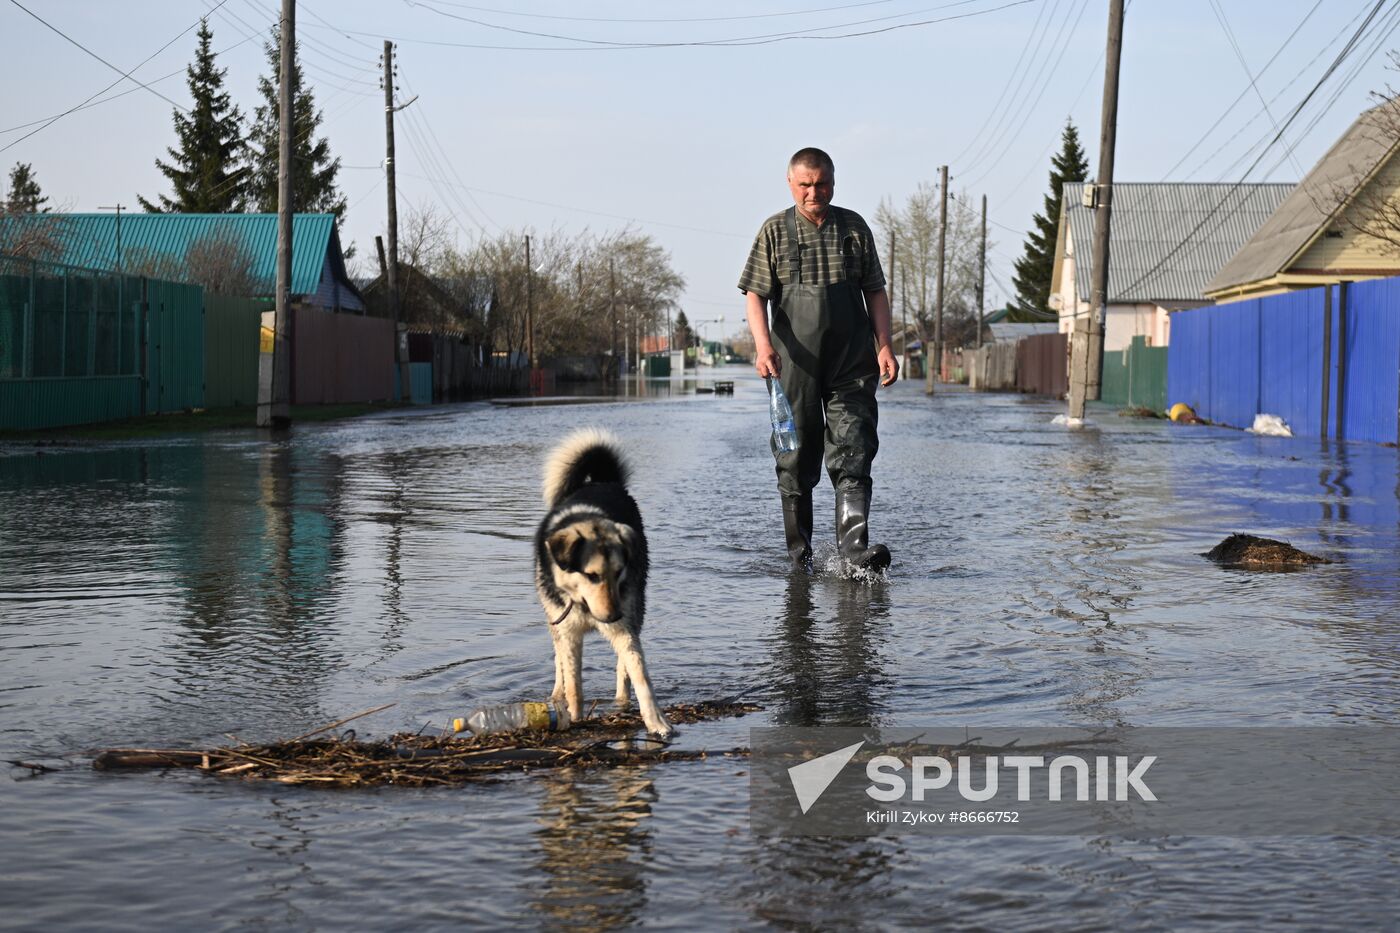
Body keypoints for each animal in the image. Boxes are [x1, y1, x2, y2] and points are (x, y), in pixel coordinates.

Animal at [532, 425, 674, 739]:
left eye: (619, 571)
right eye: (592, 575)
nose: (613, 616)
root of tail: (602, 481)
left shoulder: (625, 626)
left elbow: (641, 675)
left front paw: (656, 721)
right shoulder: (570, 632)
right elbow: (574, 683)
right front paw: (574, 716)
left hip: (635, 611)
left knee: (624, 664)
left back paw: (621, 699)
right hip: (555, 622)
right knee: (559, 660)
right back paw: (557, 693)